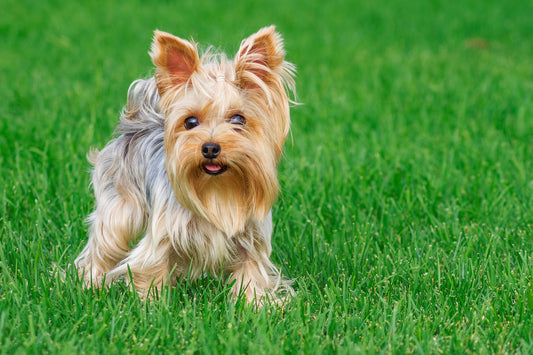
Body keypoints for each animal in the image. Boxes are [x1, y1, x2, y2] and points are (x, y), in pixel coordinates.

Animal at [75, 25, 298, 306]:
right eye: (190, 122)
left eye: (239, 119)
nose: (210, 148)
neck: (218, 189)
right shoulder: (163, 233)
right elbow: (152, 267)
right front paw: (153, 305)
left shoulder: (251, 239)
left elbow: (251, 272)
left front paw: (254, 305)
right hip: (119, 205)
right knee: (104, 243)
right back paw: (90, 284)